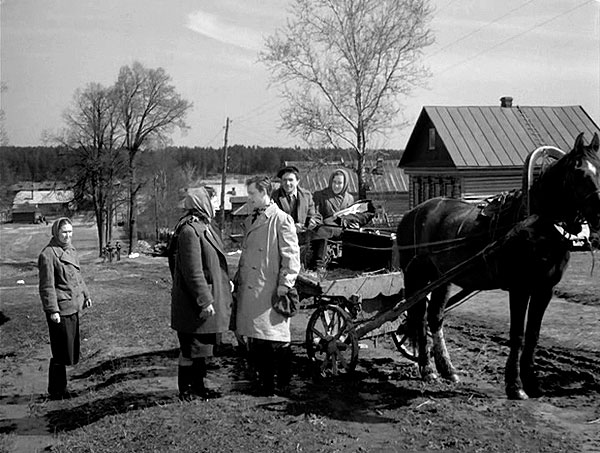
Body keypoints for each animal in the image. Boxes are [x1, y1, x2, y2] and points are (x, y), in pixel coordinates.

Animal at [396, 132, 596, 400]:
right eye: (579, 172)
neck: (536, 225)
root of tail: (413, 213)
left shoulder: (544, 290)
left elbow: (533, 335)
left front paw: (532, 383)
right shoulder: (520, 289)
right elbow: (518, 335)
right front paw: (515, 385)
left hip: (442, 279)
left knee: (434, 317)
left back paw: (447, 370)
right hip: (415, 276)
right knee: (418, 318)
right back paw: (427, 370)